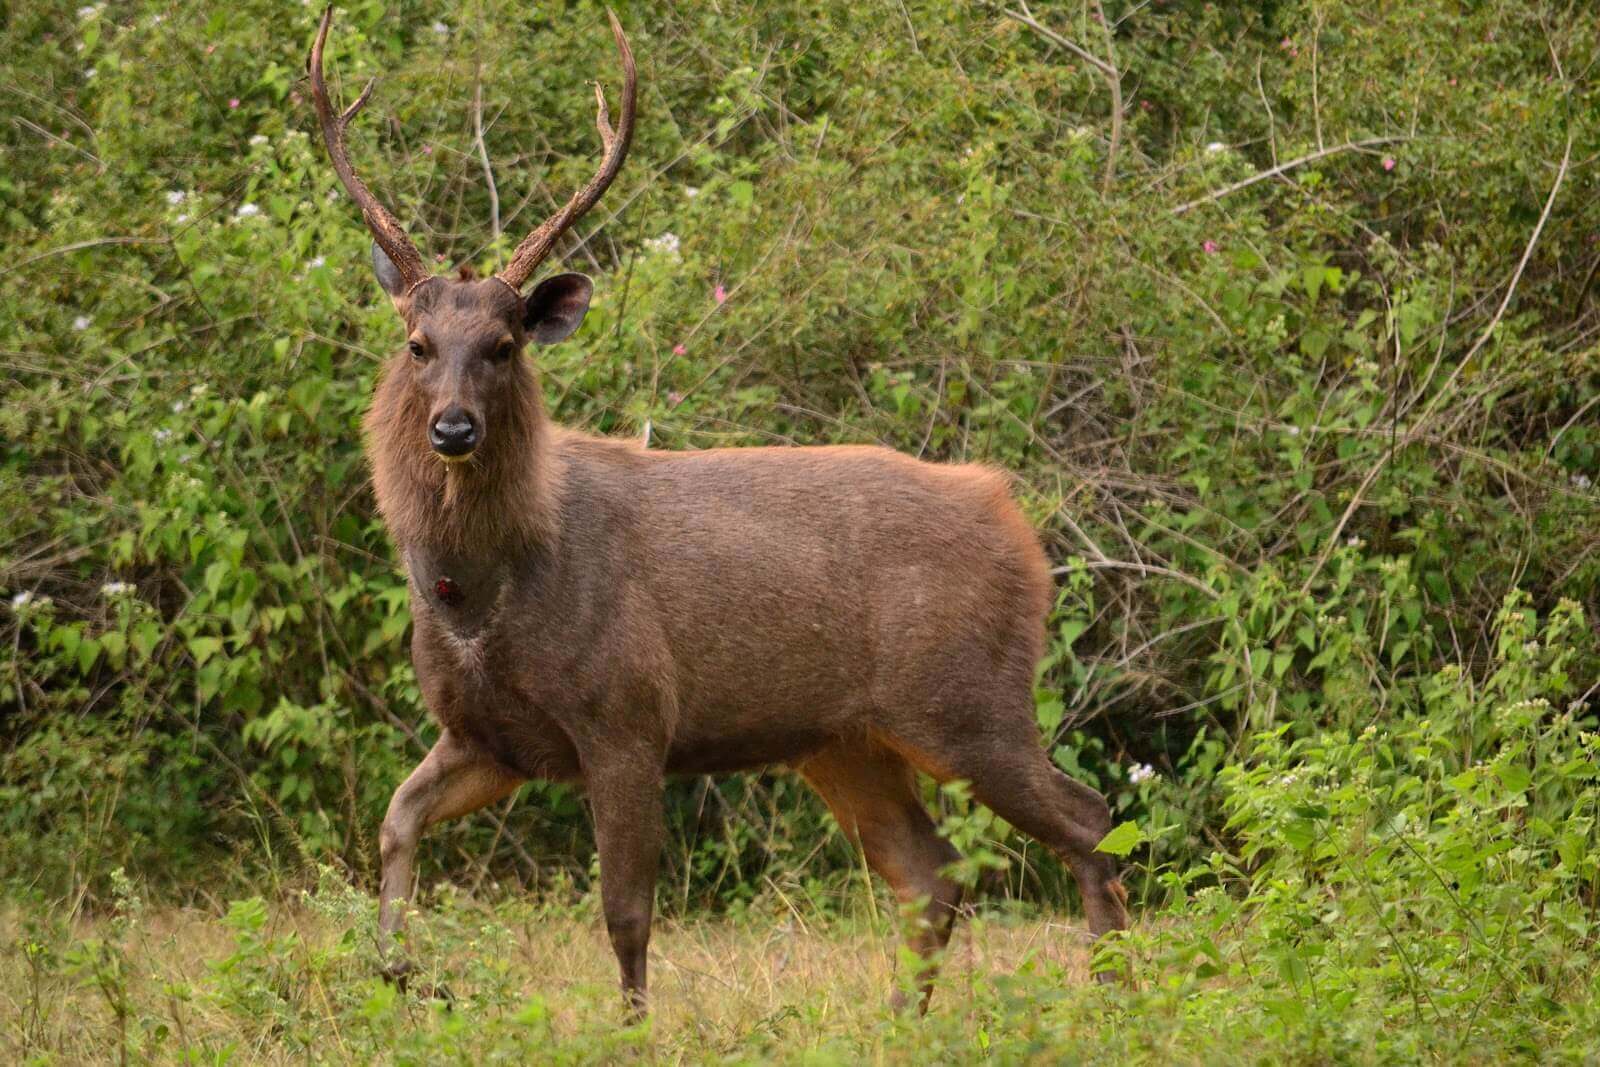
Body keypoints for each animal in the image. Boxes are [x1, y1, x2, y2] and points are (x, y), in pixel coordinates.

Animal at [307, 6, 1129, 1017]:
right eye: (418, 342)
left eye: (503, 344)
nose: (452, 427)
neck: (485, 589)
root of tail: (1016, 520)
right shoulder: (488, 735)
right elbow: (396, 816)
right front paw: (393, 972)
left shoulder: (627, 713)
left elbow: (625, 912)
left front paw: (632, 1030)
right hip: (844, 738)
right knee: (931, 870)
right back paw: (904, 1021)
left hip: (968, 697)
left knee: (1086, 820)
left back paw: (1118, 993)